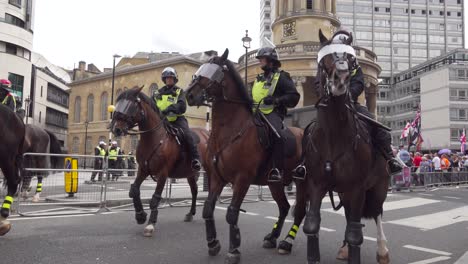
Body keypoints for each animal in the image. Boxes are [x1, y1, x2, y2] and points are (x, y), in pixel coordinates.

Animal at [110, 86, 207, 237]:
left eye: (131, 105)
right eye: (118, 103)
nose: (116, 129)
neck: (154, 138)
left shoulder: (163, 173)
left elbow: (155, 198)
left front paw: (150, 224)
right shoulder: (143, 170)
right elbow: (134, 190)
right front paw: (140, 215)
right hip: (190, 173)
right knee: (195, 191)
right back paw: (190, 214)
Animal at [302, 29, 390, 264]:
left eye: (351, 59)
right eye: (325, 58)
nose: (340, 79)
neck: (333, 134)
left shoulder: (358, 187)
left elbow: (355, 234)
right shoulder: (316, 183)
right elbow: (312, 224)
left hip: (378, 186)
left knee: (376, 212)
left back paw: (382, 250)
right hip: (344, 192)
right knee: (351, 215)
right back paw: (343, 248)